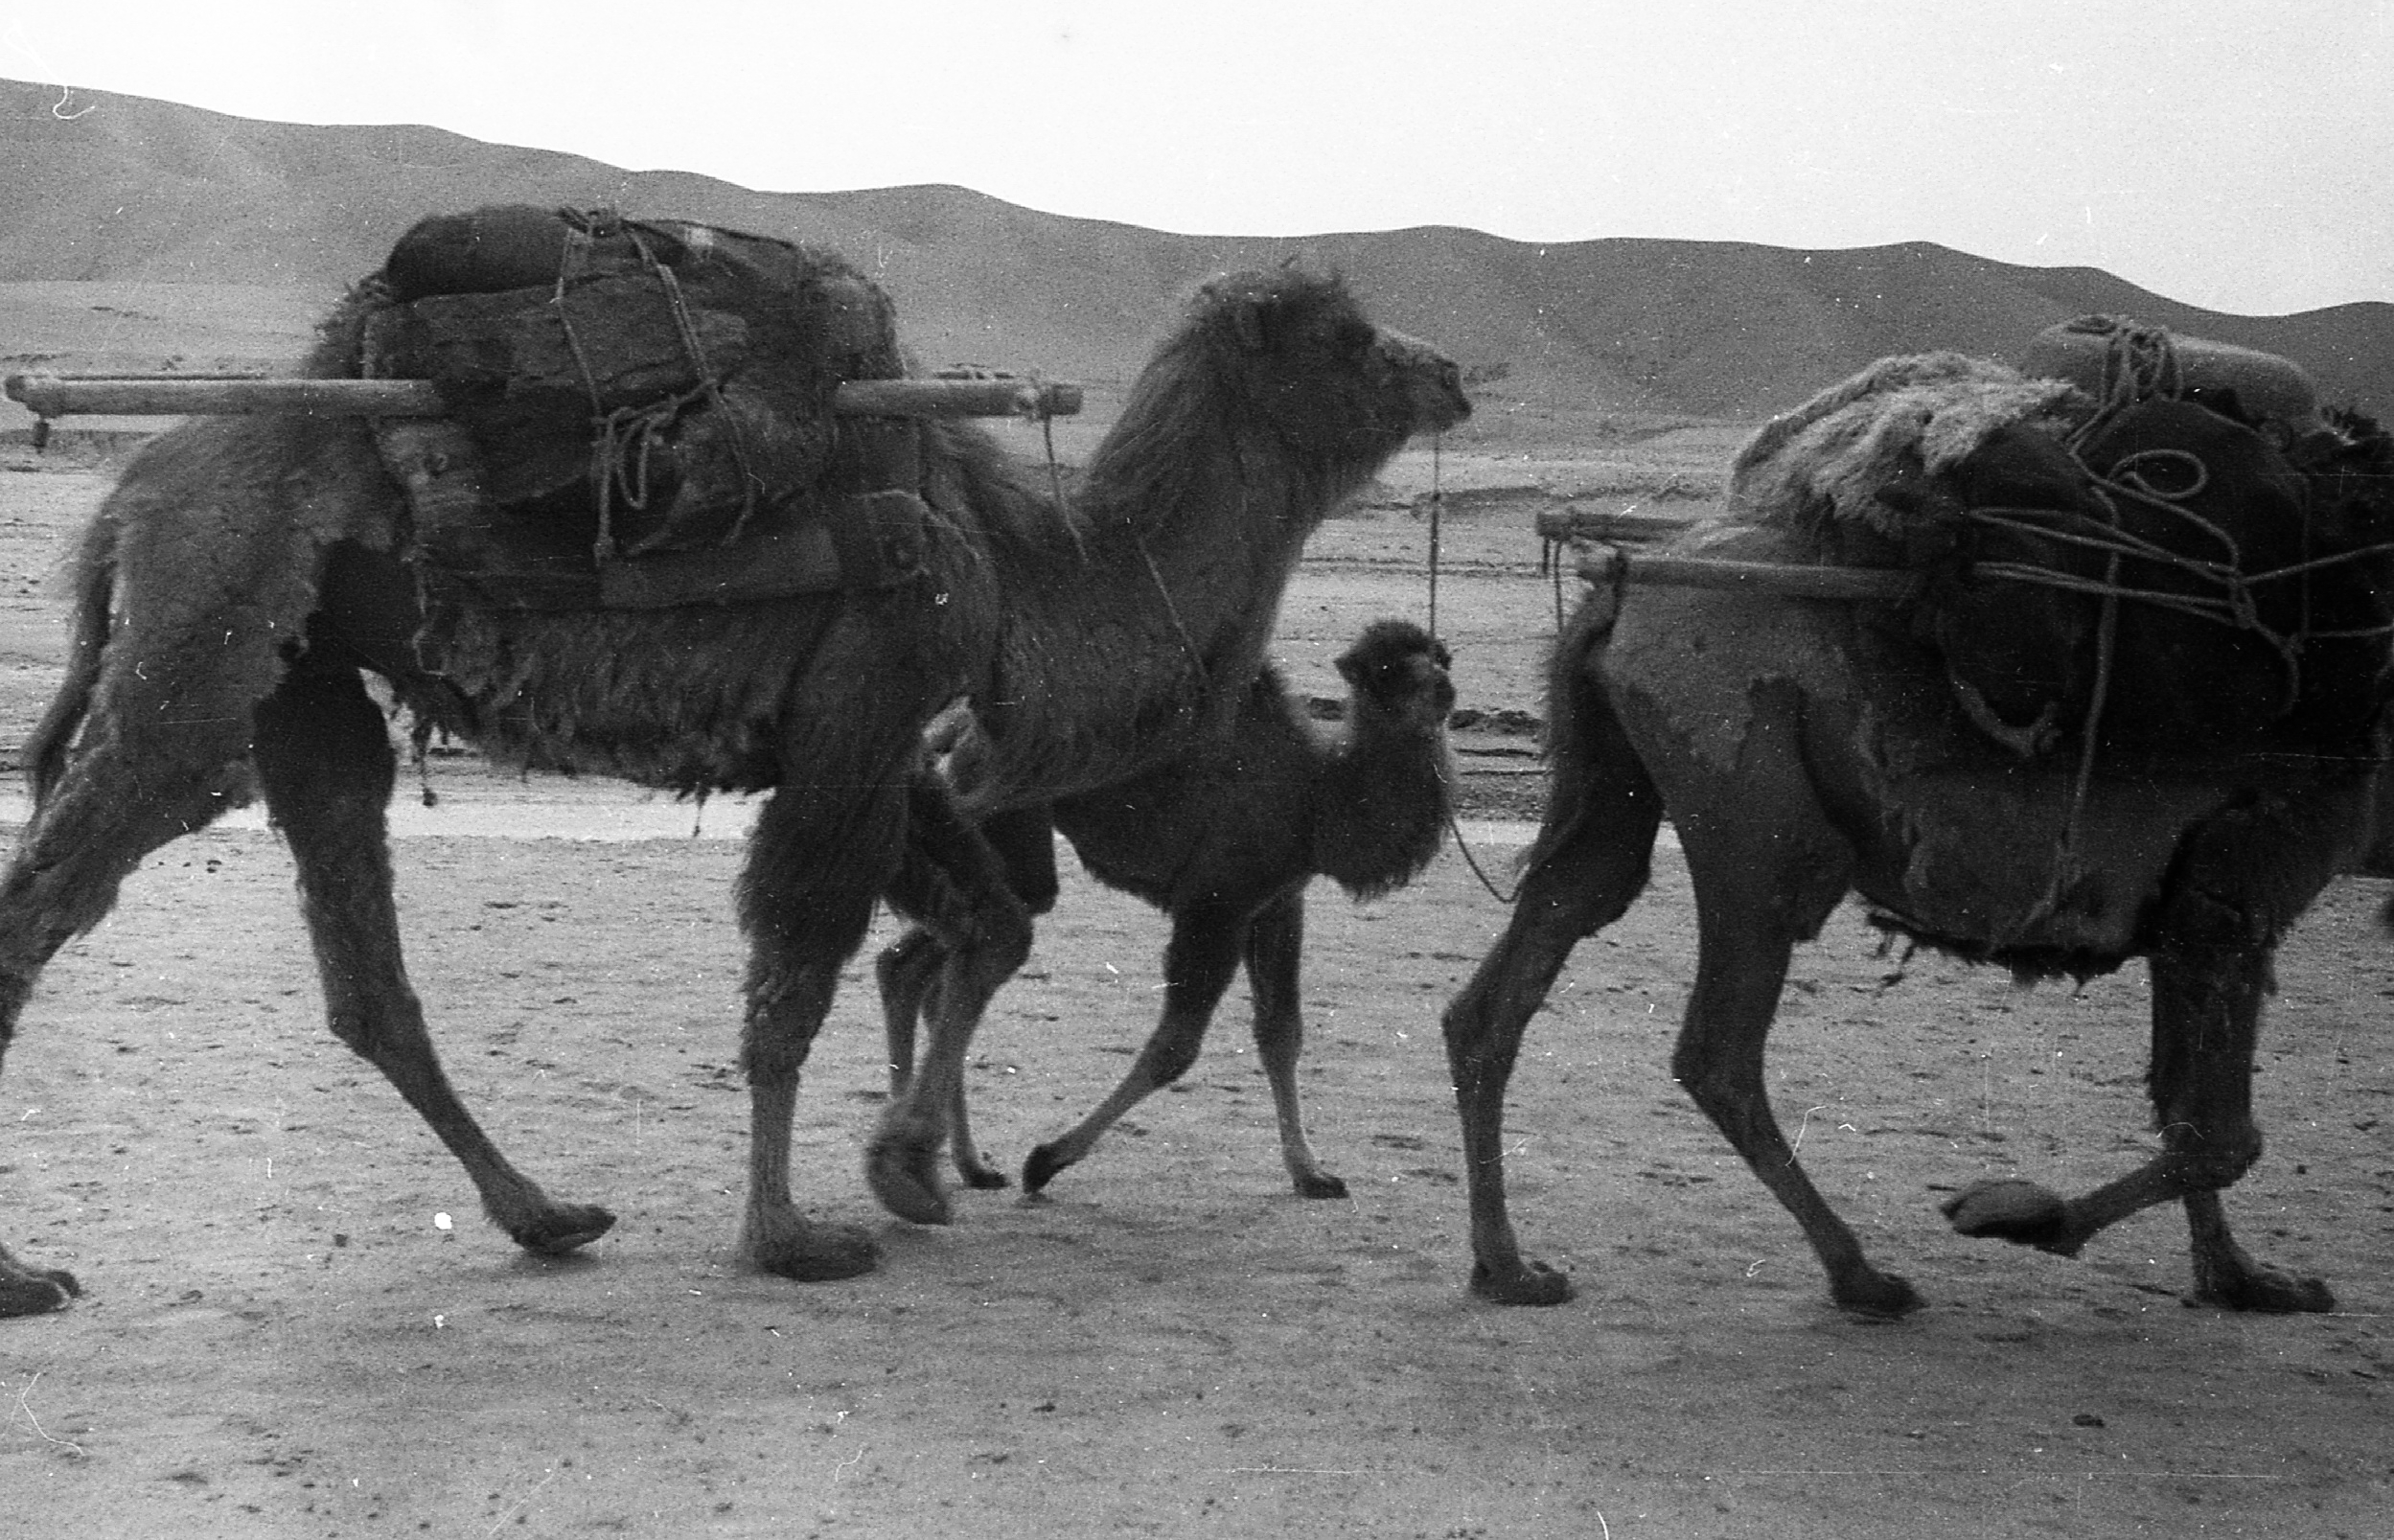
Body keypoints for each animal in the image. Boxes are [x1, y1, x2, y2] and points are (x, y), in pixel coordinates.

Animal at [877, 617, 1456, 1203]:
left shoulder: (1278, 902)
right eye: (1387, 672)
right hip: (1003, 822)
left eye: (1441, 658)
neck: (1316, 793)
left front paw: (1312, 1173)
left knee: (916, 966)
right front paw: (1046, 1161)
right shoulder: (1216, 906)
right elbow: (1176, 1046)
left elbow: (1282, 1034)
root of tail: (952, 729)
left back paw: (965, 1163)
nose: (1444, 691)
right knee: (948, 953)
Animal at [1440, 347, 2394, 1317]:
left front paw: (2242, 1276)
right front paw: (2018, 1214)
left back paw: (1507, 1264)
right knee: (1718, 1046)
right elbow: (2221, 1135)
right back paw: (1860, 1273)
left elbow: (2183, 1105)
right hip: (1752, 800)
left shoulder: (2188, 895)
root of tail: (1621, 588)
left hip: (1619, 776)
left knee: (1526, 963)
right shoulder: (2252, 870)